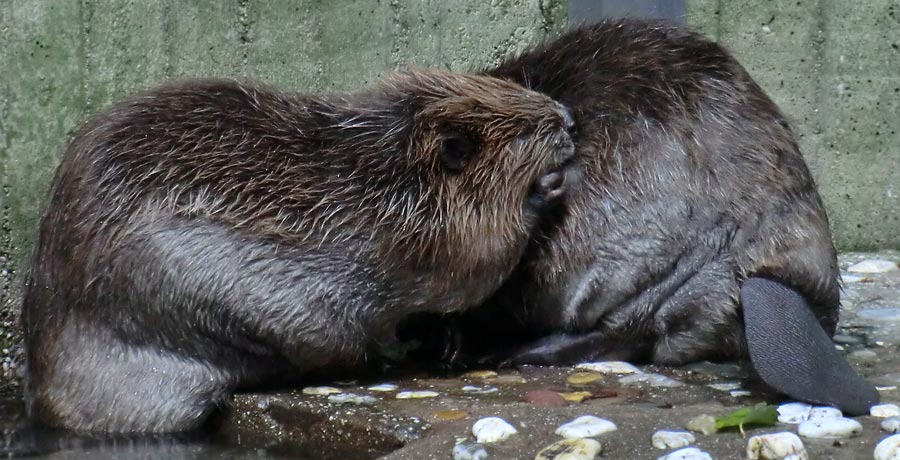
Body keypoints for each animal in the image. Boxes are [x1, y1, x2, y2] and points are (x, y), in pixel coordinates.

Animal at [24, 69, 580, 434]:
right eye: (528, 130)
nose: (569, 119)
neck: (386, 174)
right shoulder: (418, 232)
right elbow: (478, 257)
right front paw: (548, 187)